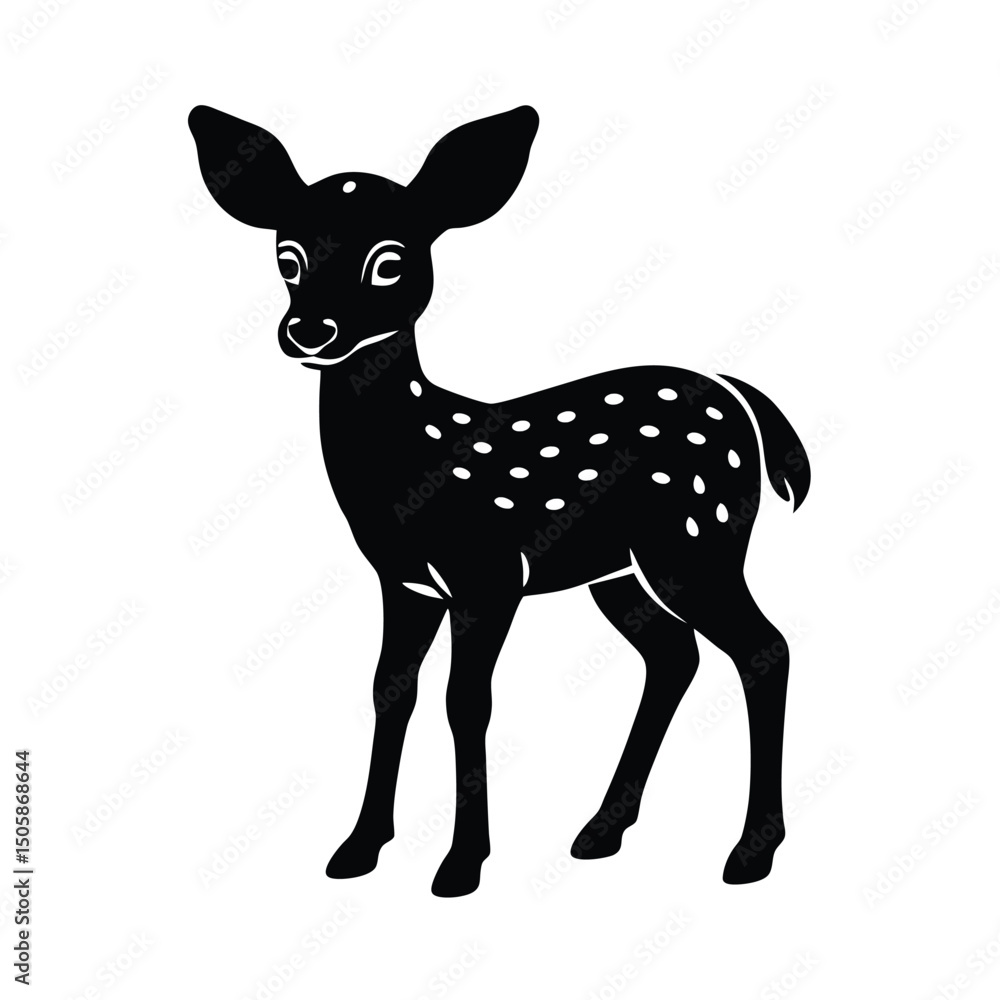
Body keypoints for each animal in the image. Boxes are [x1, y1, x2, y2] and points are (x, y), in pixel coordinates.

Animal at [188, 104, 811, 897]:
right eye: (287, 257)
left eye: (390, 259)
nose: (309, 331)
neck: (414, 457)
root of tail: (741, 397)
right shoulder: (405, 581)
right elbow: (390, 690)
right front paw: (358, 849)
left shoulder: (487, 571)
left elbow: (466, 701)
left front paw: (460, 865)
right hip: (619, 569)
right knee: (675, 656)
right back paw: (601, 831)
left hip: (699, 537)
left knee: (764, 648)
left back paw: (751, 852)